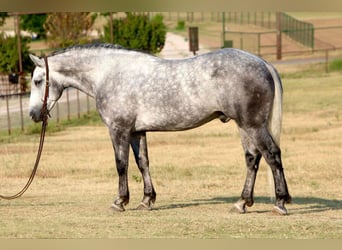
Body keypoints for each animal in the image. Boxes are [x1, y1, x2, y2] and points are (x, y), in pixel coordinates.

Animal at [29, 43, 292, 215]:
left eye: (37, 81)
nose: (33, 114)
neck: (108, 73)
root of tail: (262, 63)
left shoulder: (118, 129)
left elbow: (121, 164)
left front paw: (120, 201)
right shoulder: (137, 132)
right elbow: (142, 163)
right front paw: (147, 200)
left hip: (252, 124)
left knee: (272, 155)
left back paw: (280, 203)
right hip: (244, 126)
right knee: (252, 159)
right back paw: (242, 203)